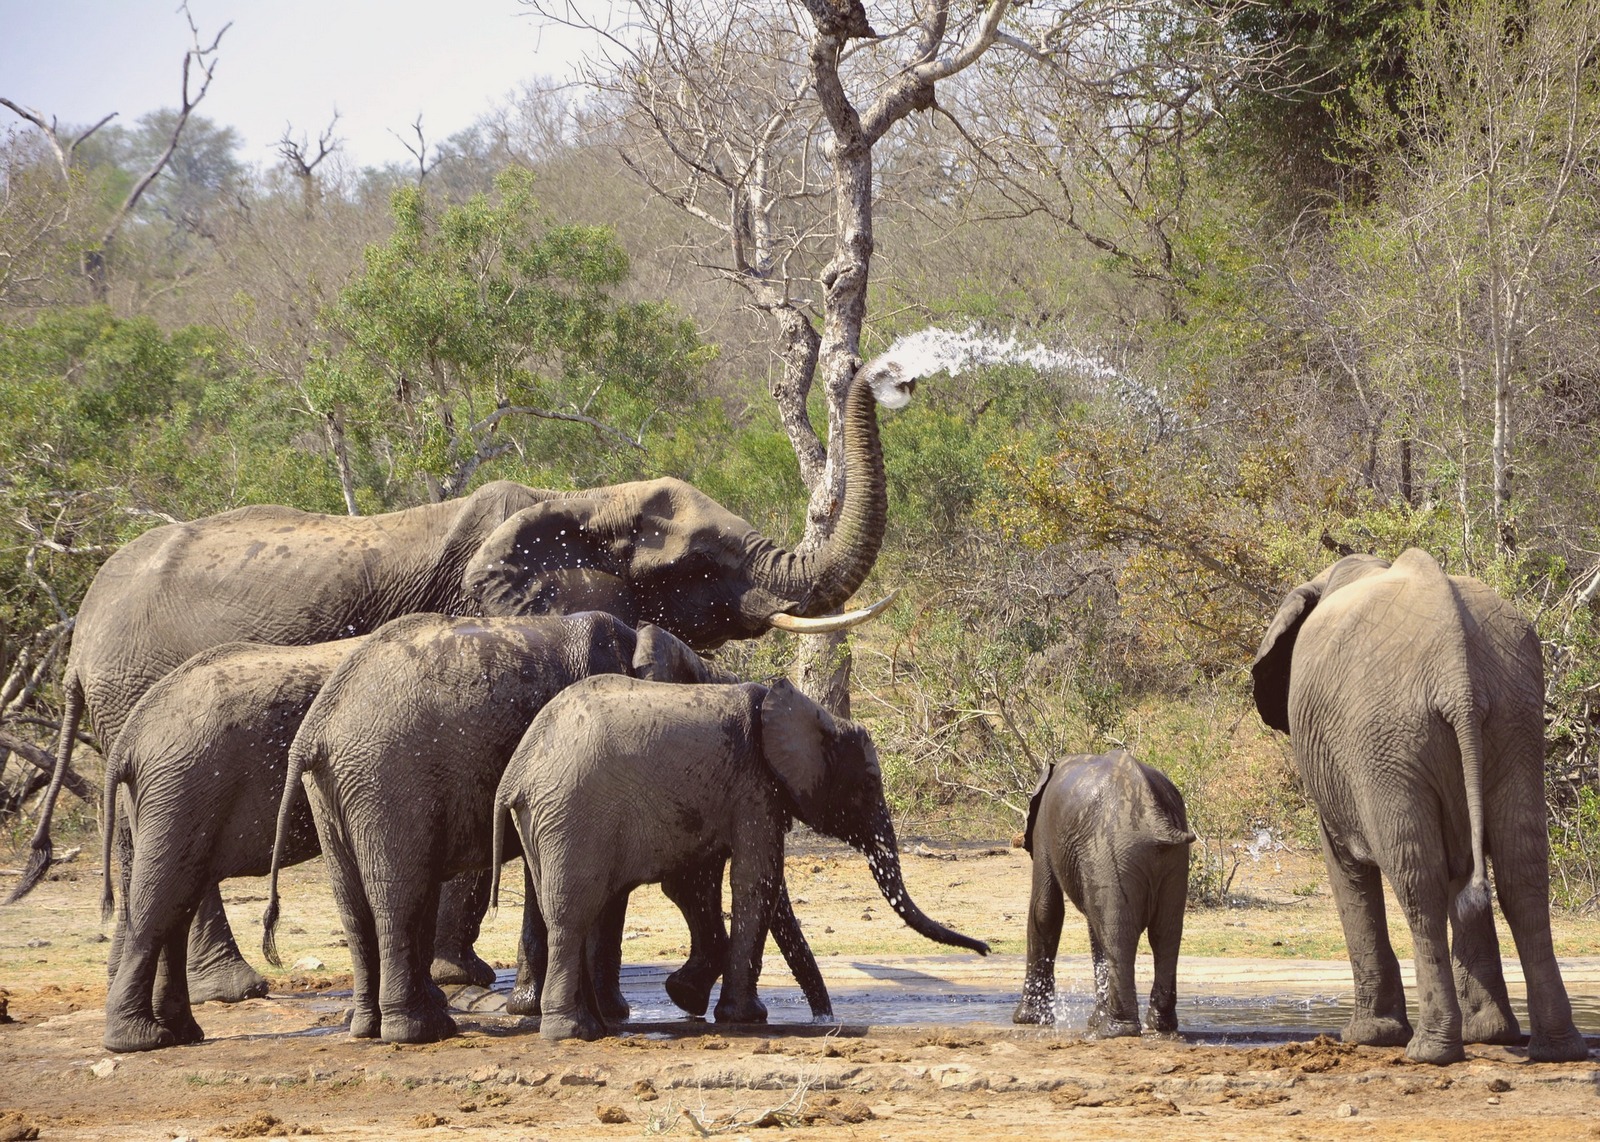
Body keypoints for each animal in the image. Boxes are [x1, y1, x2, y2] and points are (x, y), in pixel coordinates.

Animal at [9, 359, 915, 998]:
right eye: (703, 563)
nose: (893, 375)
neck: (581, 501)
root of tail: (80, 629)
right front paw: (461, 981)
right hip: (139, 693)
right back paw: (233, 989)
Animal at [492, 674, 985, 1042]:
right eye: (867, 784)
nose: (984, 948)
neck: (797, 708)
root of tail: (515, 775)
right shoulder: (754, 785)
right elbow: (758, 878)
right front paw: (745, 1018)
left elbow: (697, 884)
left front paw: (687, 996)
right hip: (572, 814)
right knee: (572, 915)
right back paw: (571, 1033)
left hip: (546, 821)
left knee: (575, 908)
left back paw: (594, 1026)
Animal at [1011, 748, 1190, 1030]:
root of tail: (1155, 819)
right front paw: (1094, 1020)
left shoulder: (1043, 828)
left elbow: (1045, 909)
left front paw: (1027, 1020)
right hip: (1170, 859)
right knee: (1164, 933)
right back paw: (1158, 1026)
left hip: (1112, 850)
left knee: (1118, 934)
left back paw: (1115, 1030)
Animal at [1248, 547, 1587, 1062]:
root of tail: (1457, 674)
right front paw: (1489, 1033)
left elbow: (1348, 869)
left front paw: (1368, 1037)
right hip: (1514, 718)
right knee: (1522, 871)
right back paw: (1552, 1047)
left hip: (1385, 737)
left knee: (1416, 879)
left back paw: (1429, 1051)